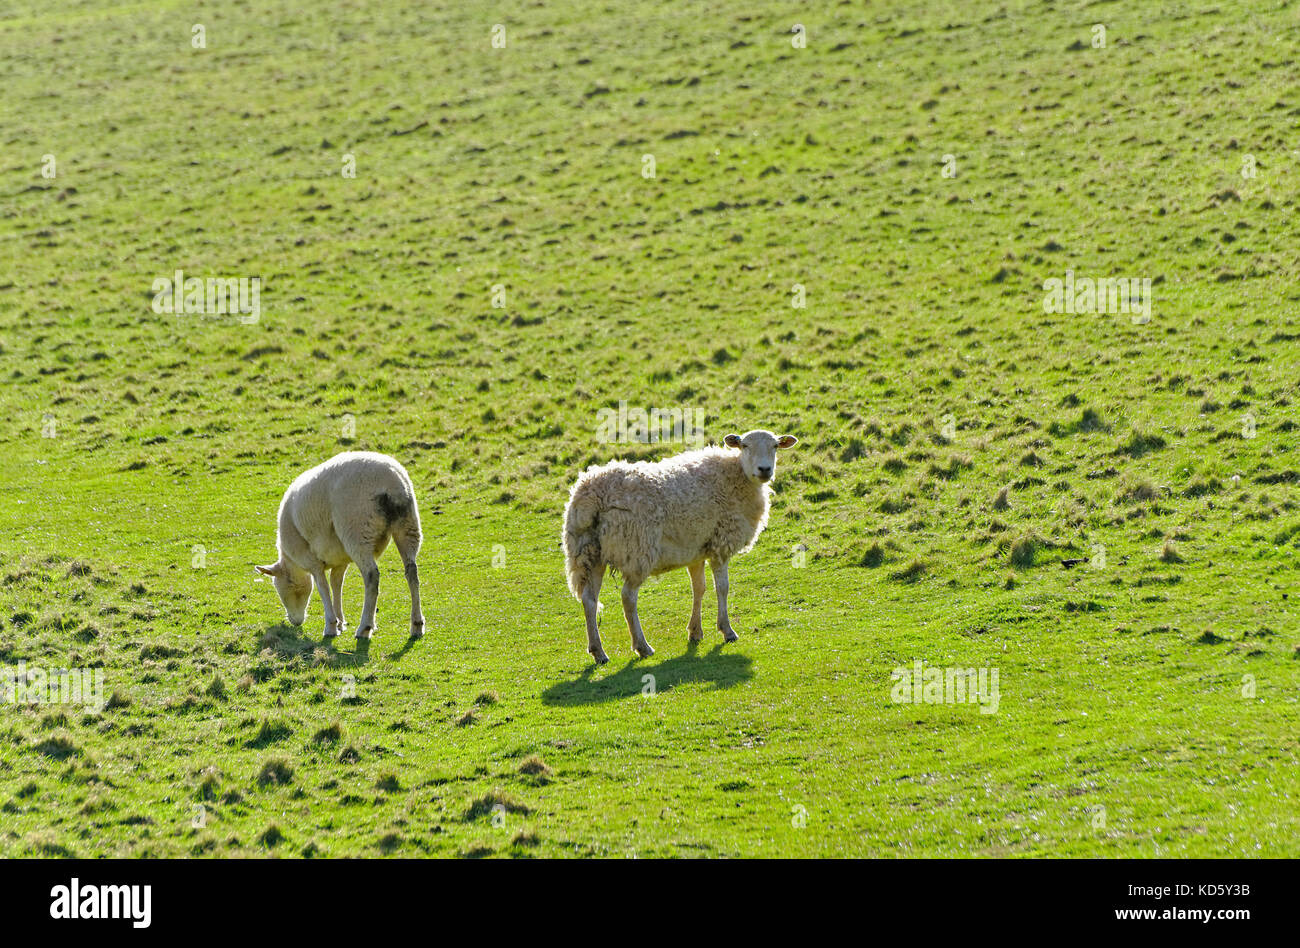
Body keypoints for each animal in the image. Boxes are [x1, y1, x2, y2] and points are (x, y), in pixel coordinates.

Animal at [257, 449, 426, 639]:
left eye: (282, 589)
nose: (295, 622)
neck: (292, 561)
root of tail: (391, 481)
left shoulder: (311, 560)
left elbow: (323, 587)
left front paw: (331, 626)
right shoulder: (340, 559)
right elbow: (336, 584)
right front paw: (340, 622)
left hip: (357, 530)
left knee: (372, 576)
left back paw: (364, 627)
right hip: (408, 524)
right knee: (412, 571)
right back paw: (416, 624)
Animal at [561, 426, 795, 663]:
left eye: (775, 446)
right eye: (745, 445)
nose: (765, 469)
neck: (736, 476)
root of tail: (592, 495)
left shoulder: (697, 550)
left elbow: (699, 588)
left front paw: (695, 632)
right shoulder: (720, 545)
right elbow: (722, 588)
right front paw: (727, 631)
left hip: (588, 552)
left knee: (589, 599)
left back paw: (599, 652)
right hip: (636, 549)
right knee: (627, 598)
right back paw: (642, 646)